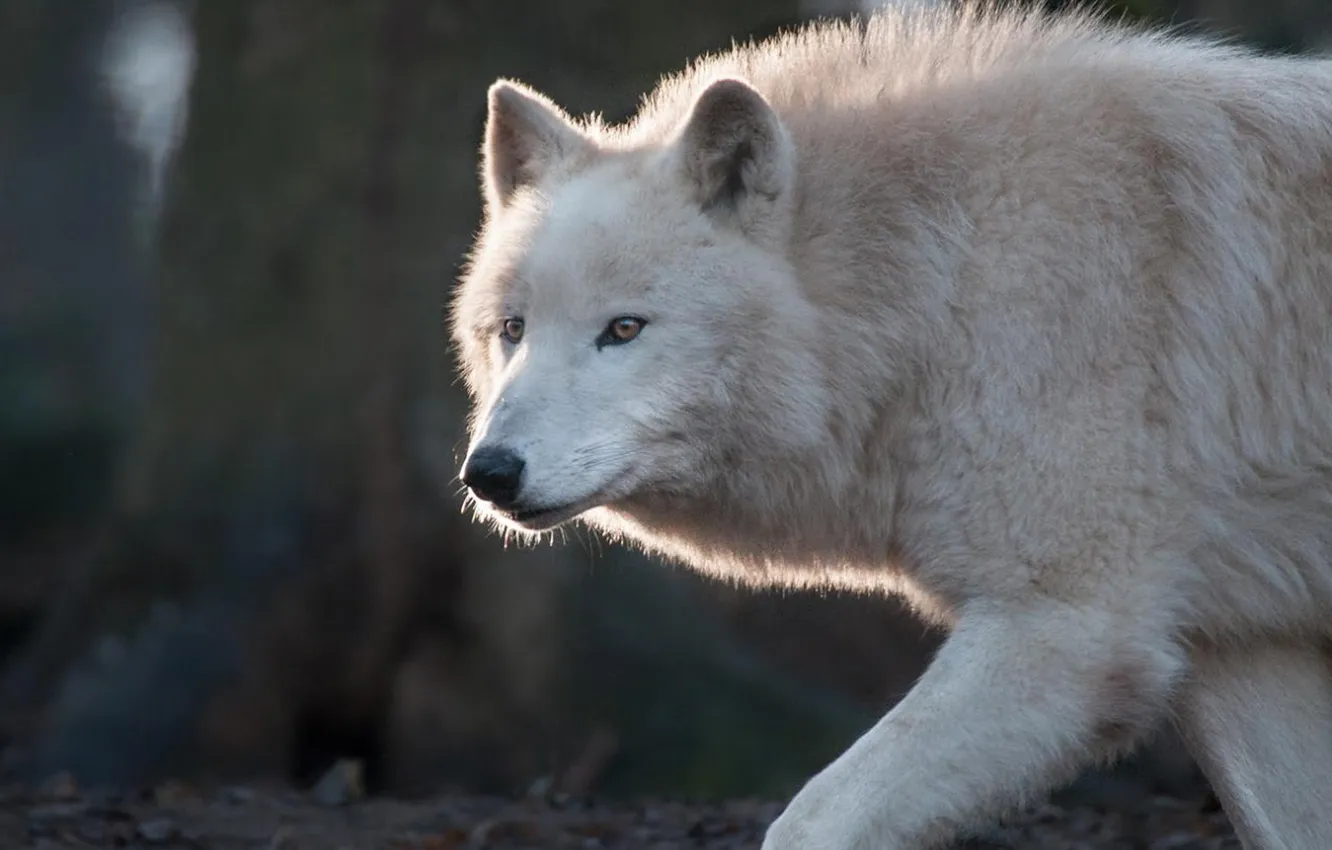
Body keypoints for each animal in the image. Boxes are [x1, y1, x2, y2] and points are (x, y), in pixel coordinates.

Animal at [450, 3, 1332, 848]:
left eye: (624, 329)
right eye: (514, 329)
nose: (489, 472)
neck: (941, 283)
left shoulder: (1065, 631)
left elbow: (810, 819)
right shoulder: (1239, 647)